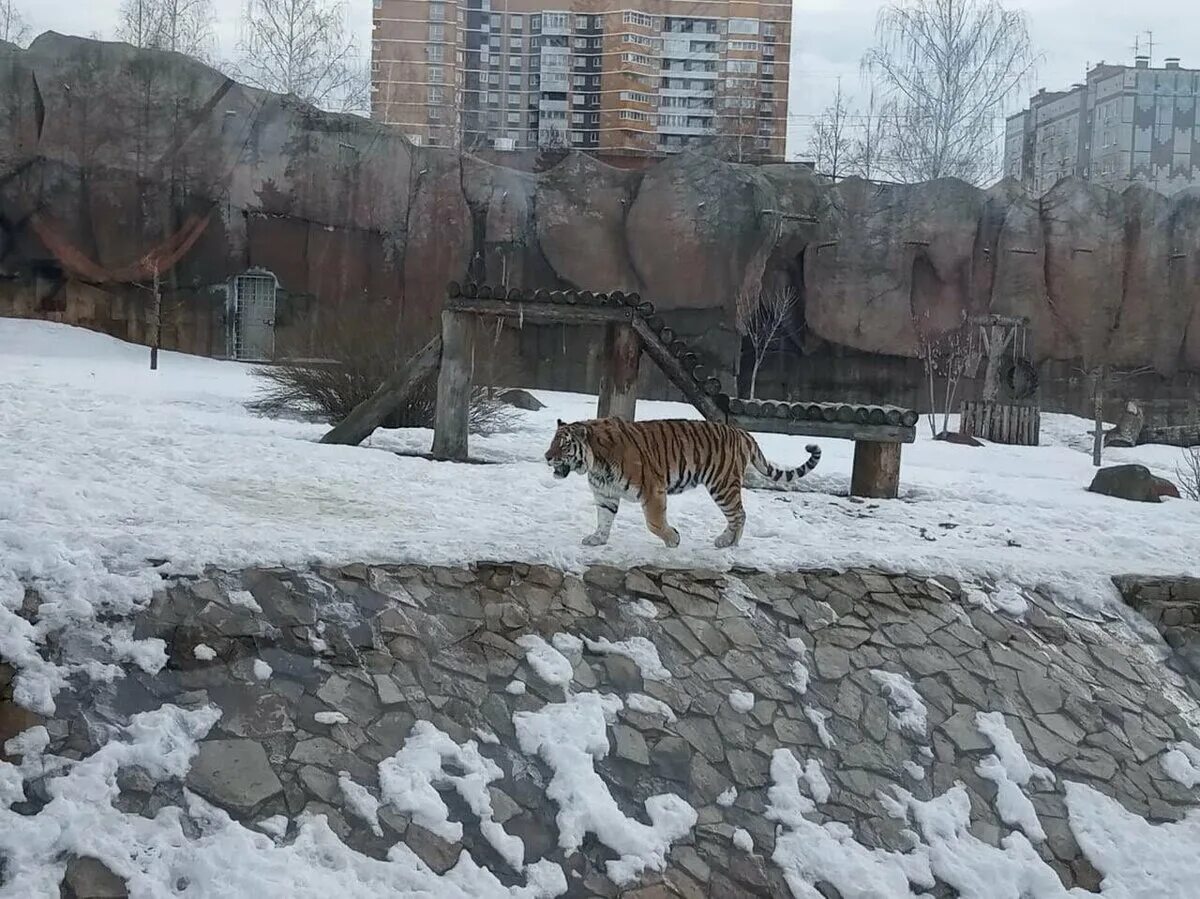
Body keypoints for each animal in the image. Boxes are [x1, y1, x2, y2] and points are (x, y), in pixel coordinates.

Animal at [542, 420, 816, 547]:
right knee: (739, 514)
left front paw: (673, 539)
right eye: (552, 442)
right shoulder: (605, 495)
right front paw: (597, 539)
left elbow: (654, 523)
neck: (595, 464)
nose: (546, 456)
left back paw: (728, 543)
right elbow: (604, 519)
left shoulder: (652, 490)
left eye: (564, 445)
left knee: (739, 513)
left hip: (722, 485)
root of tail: (740, 431)